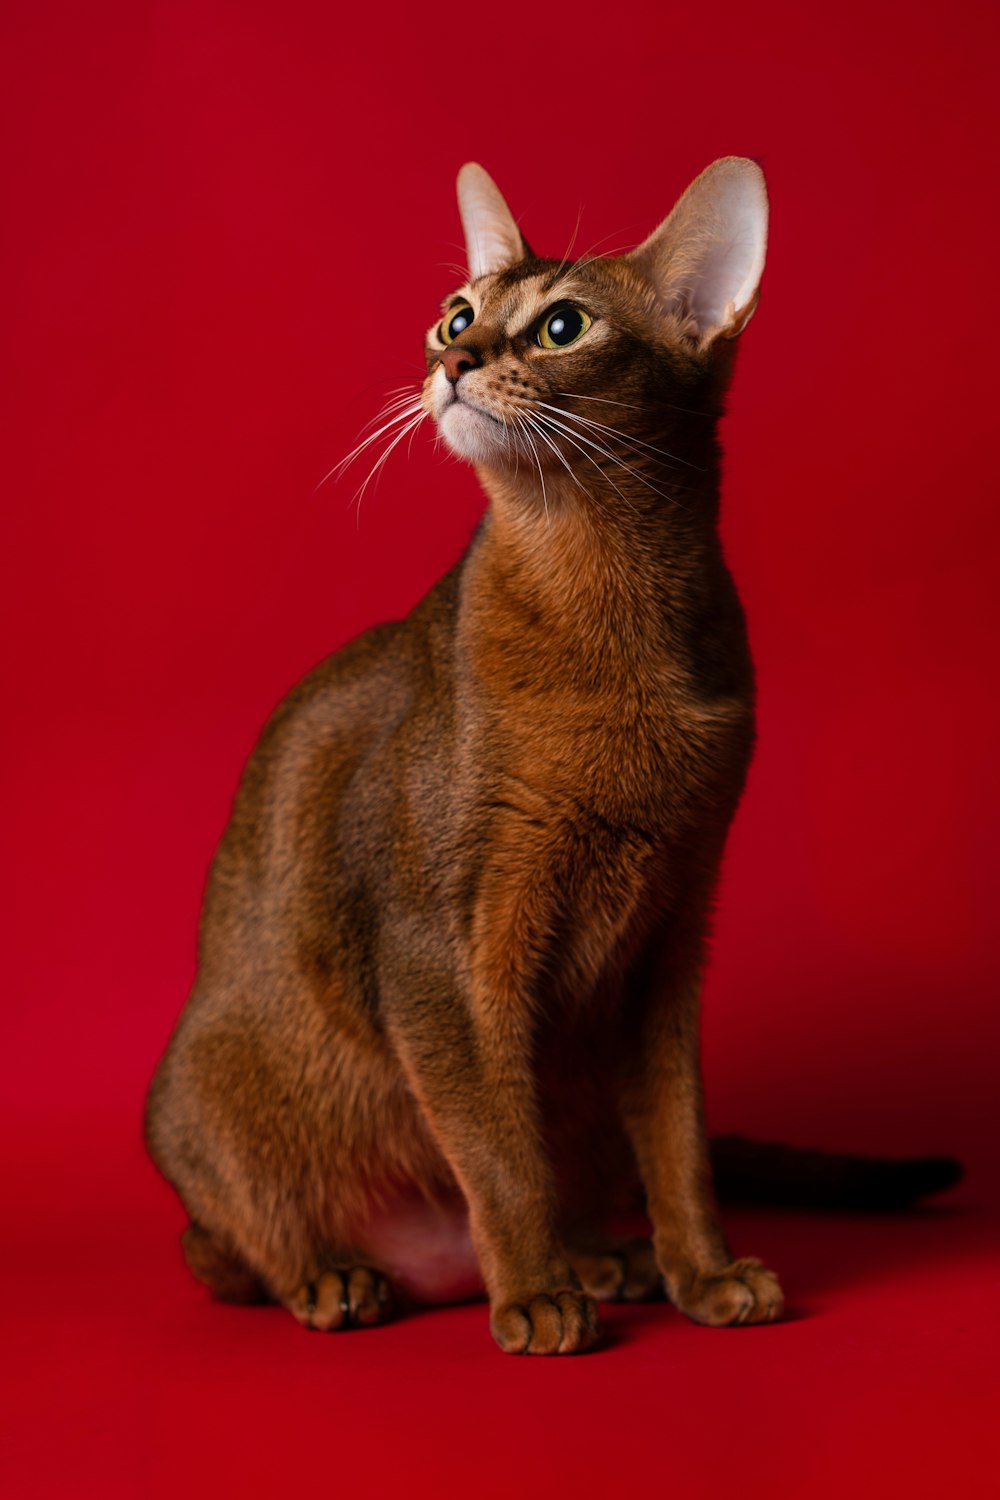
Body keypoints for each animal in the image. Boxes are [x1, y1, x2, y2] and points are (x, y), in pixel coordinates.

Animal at [144, 158, 959, 1356]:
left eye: (564, 326)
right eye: (457, 314)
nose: (454, 362)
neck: (605, 601)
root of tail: (425, 1269)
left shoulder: (670, 935)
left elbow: (678, 1142)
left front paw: (704, 1274)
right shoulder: (438, 956)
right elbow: (494, 1146)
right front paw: (532, 1297)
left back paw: (609, 1257)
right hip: (207, 1090)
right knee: (222, 1243)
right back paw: (344, 1277)